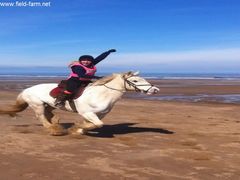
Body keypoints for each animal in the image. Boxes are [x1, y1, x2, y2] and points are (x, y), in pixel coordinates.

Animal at [0, 71, 159, 135]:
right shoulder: (87, 113)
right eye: (135, 80)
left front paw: (79, 130)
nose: (155, 90)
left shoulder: (100, 114)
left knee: (49, 115)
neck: (101, 94)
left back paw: (57, 123)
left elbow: (96, 124)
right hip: (37, 105)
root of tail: (26, 89)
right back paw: (54, 130)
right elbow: (97, 124)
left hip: (48, 105)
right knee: (42, 118)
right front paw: (77, 127)